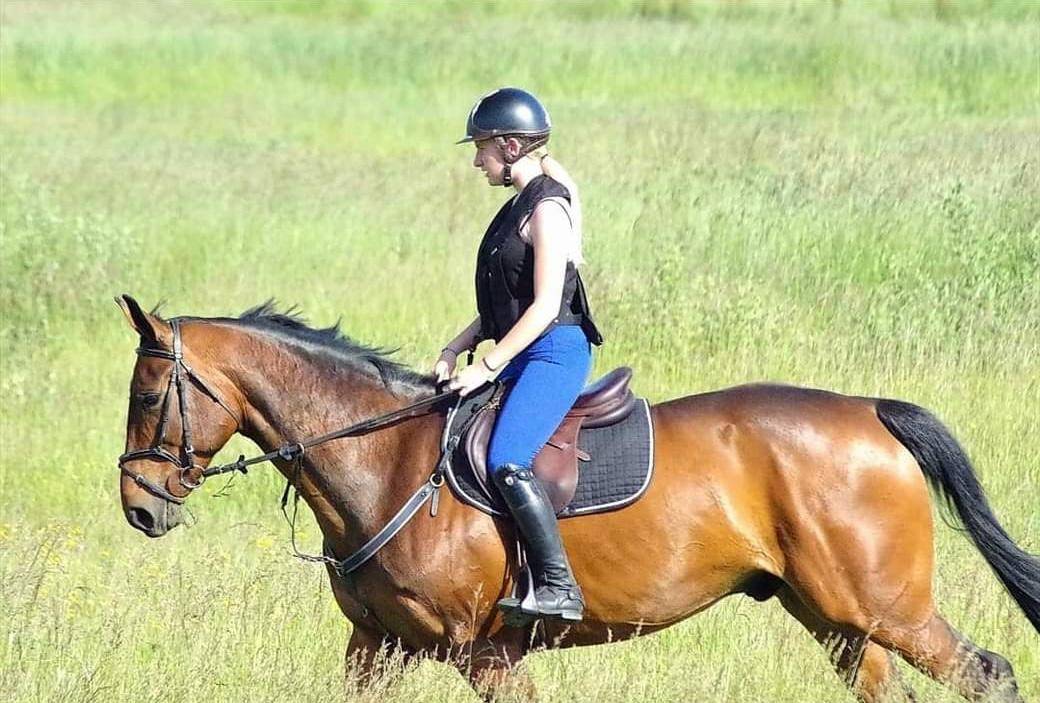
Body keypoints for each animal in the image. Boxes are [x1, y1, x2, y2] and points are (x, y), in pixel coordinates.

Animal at [114, 294, 1038, 702]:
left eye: (151, 394)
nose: (140, 507)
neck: (385, 462)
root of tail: (869, 410)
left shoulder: (484, 654)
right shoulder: (375, 643)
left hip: (885, 606)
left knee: (985, 672)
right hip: (836, 617)